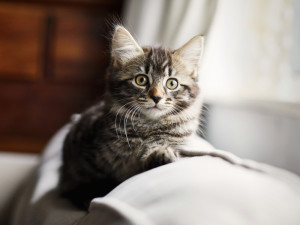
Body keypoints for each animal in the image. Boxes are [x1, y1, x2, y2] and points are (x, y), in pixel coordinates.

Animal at [59, 25, 204, 208]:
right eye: (141, 80)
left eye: (172, 83)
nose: (157, 97)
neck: (147, 127)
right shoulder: (84, 158)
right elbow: (88, 182)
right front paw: (88, 199)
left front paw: (162, 155)